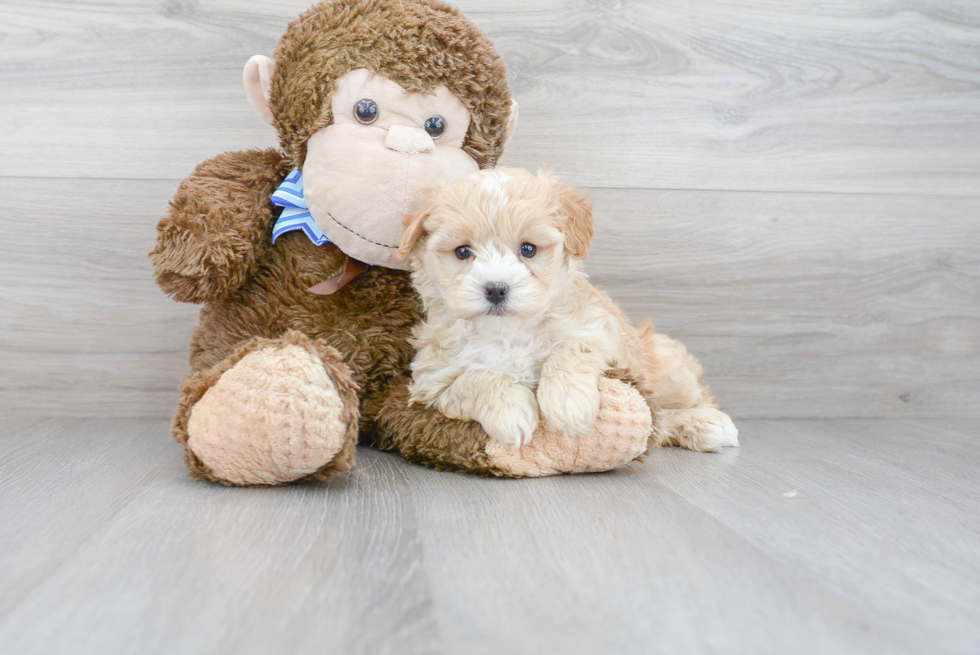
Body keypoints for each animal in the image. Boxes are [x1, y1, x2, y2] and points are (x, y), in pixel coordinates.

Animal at [394, 167, 740, 454]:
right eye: (463, 252)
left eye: (528, 249)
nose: (495, 288)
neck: (508, 333)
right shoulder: (431, 384)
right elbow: (473, 379)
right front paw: (511, 411)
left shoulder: (605, 339)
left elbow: (572, 348)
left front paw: (567, 401)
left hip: (669, 371)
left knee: (677, 403)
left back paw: (709, 423)